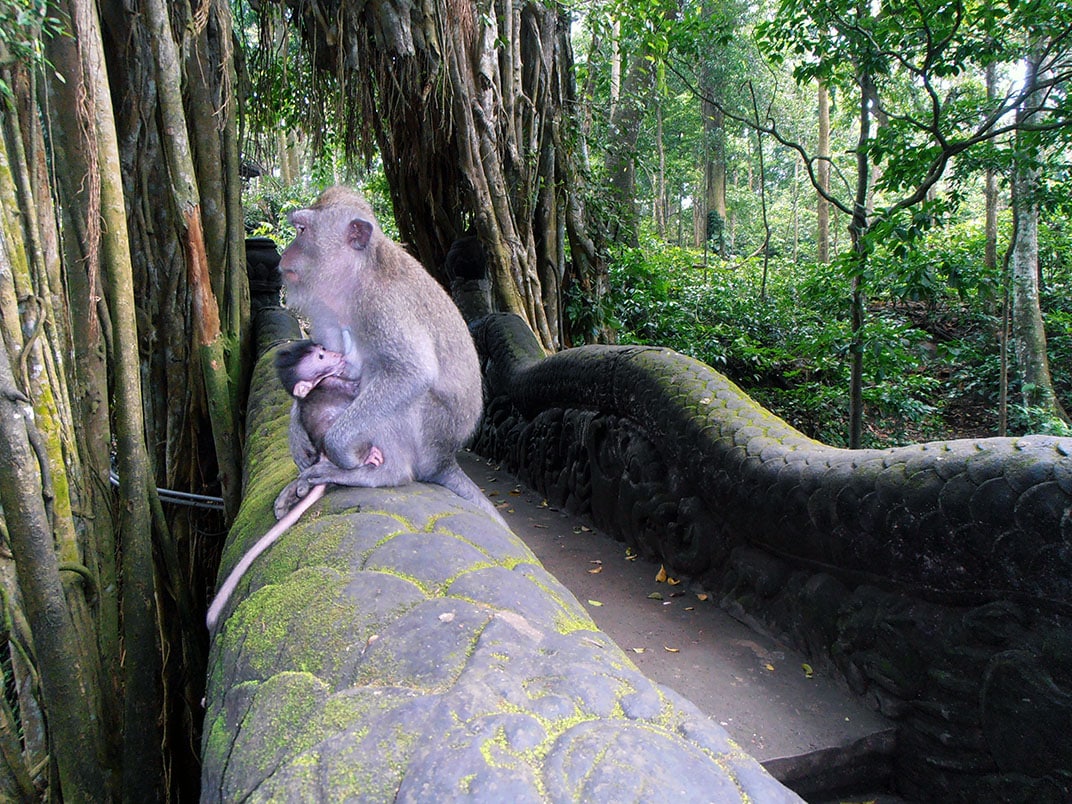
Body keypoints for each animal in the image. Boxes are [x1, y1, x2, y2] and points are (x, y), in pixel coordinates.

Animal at [272, 185, 506, 527]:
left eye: (302, 230)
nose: (284, 253)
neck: (356, 278)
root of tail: (445, 458)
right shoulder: (327, 308)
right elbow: (330, 368)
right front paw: (296, 431)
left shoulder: (384, 305)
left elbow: (411, 372)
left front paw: (340, 450)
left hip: (429, 436)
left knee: (397, 387)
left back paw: (381, 473)